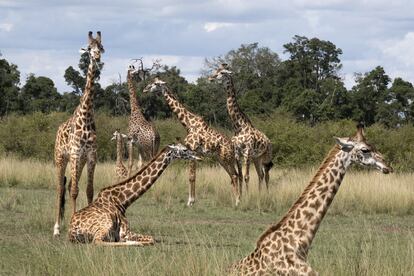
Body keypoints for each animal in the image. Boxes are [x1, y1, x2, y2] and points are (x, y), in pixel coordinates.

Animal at [68, 143, 201, 245]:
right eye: (184, 149)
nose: (198, 156)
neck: (121, 201)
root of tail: (71, 232)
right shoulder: (124, 232)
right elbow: (151, 238)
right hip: (104, 224)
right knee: (98, 241)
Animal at [143, 76, 241, 206]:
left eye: (156, 84)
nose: (145, 89)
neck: (188, 123)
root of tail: (233, 147)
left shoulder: (193, 150)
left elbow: (191, 176)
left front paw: (190, 201)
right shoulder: (194, 153)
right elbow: (193, 176)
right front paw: (192, 200)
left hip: (227, 157)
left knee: (234, 175)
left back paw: (237, 201)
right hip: (220, 159)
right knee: (233, 175)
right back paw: (235, 199)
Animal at [209, 63, 274, 192]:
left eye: (222, 73)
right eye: (216, 71)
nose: (210, 78)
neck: (238, 127)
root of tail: (269, 141)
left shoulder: (247, 152)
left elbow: (246, 176)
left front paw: (247, 195)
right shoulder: (237, 153)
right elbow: (239, 176)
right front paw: (241, 194)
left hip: (266, 156)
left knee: (267, 175)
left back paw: (267, 193)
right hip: (257, 158)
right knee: (261, 174)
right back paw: (260, 193)